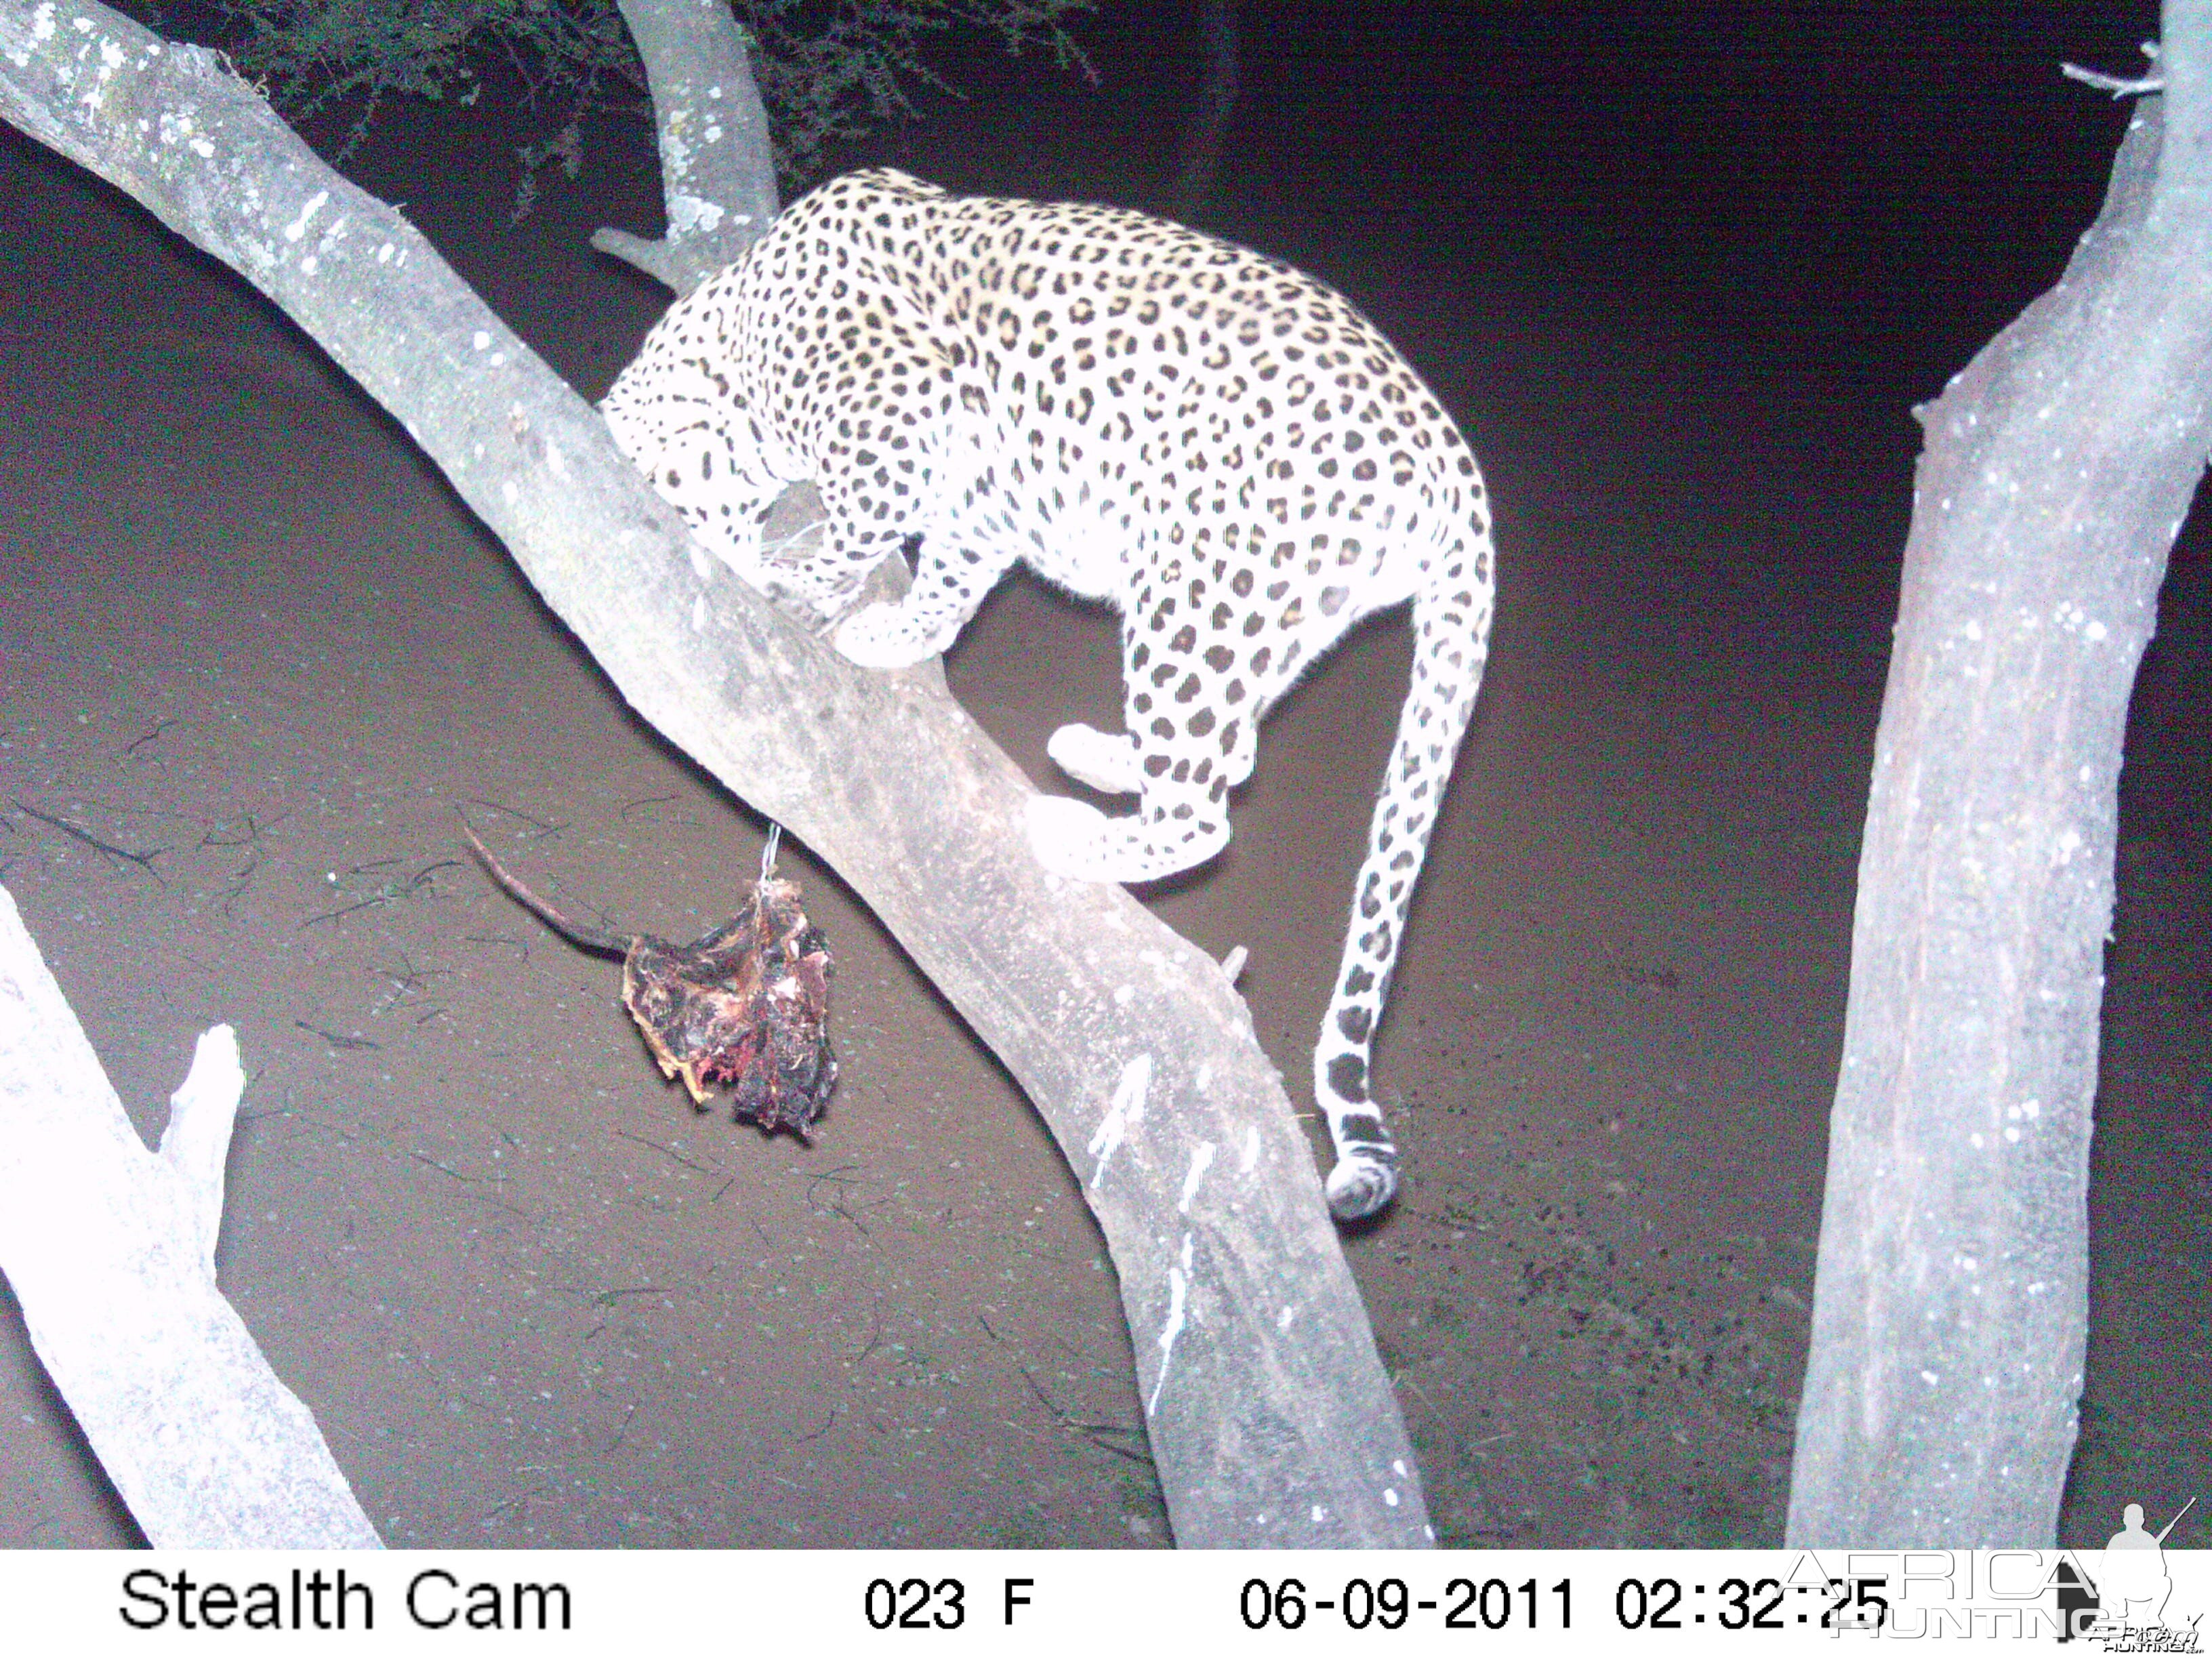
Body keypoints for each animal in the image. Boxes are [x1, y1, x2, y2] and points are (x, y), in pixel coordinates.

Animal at [601, 169, 1504, 1221]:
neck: (727, 340)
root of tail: (1452, 464)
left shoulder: (894, 426)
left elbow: (849, 534)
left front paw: (786, 581)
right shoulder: (978, 494)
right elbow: (948, 581)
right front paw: (894, 631)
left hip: (1198, 589)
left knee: (1204, 812)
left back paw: (1071, 828)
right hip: (1262, 615)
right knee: (1231, 752)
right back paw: (1095, 756)